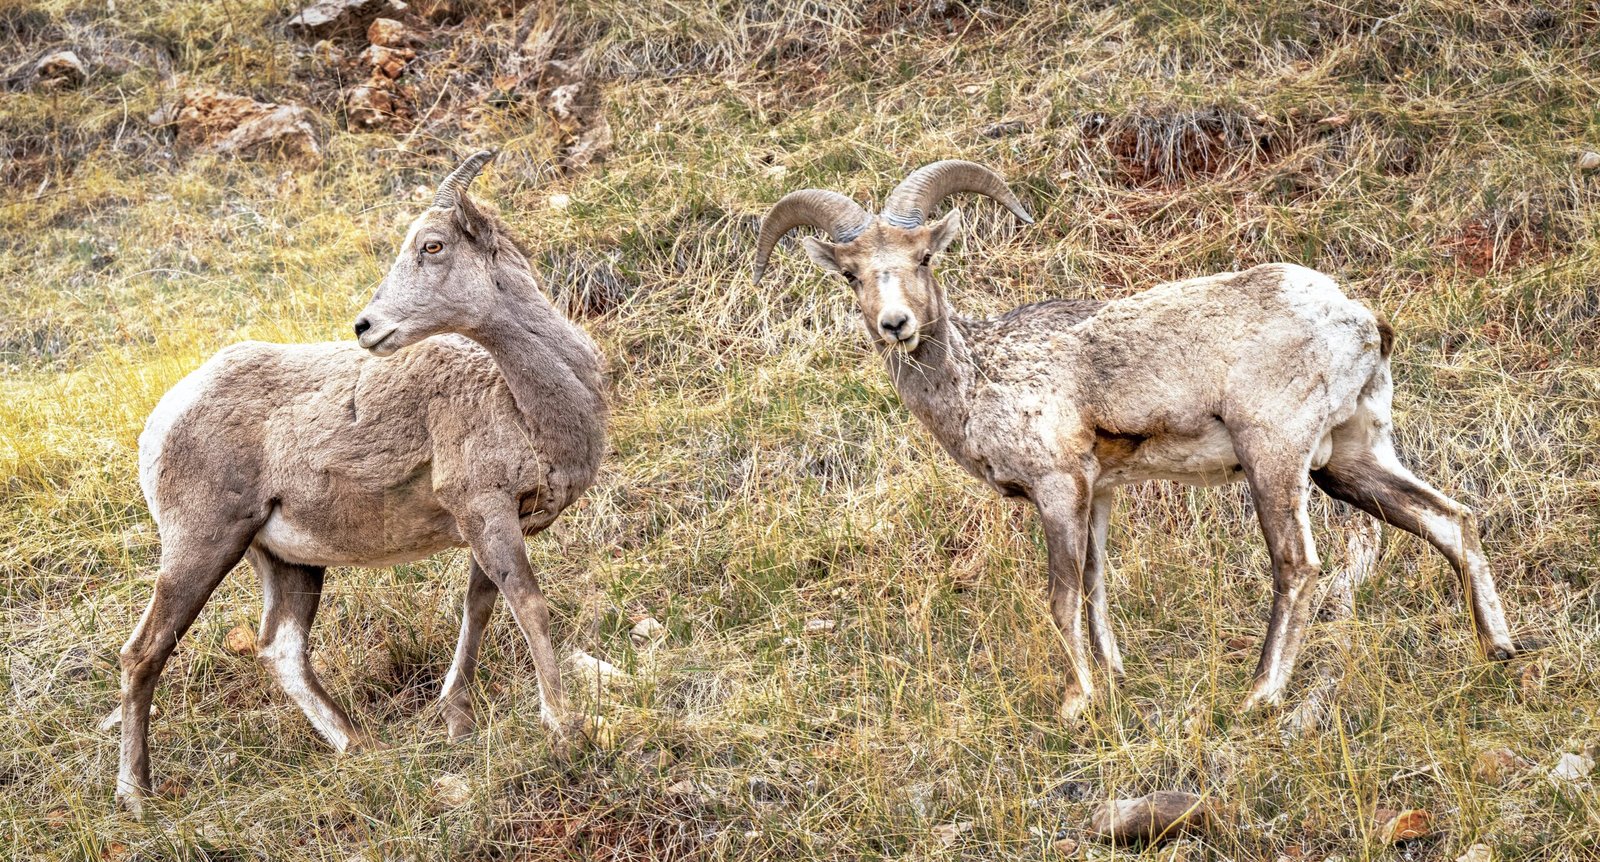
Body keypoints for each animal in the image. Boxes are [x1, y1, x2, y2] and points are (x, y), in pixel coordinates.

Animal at [108, 151, 604, 812]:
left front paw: (458, 722)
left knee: (282, 650)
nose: (366, 327)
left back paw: (358, 745)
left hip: (287, 561)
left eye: (432, 245)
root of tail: (160, 422)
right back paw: (137, 795)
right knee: (144, 652)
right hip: (201, 546)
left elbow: (479, 608)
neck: (525, 399)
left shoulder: (495, 523)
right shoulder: (485, 511)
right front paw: (564, 726)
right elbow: (529, 606)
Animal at [755, 159, 1516, 722]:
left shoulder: (1059, 490)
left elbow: (1062, 596)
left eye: (922, 259)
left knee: (1297, 566)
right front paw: (1114, 677)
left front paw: (1078, 702)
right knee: (1451, 520)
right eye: (852, 274)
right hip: (1352, 460)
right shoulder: (1099, 497)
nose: (895, 325)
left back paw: (1259, 695)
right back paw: (1498, 649)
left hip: (1275, 459)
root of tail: (1358, 318)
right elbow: (1096, 590)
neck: (982, 379)